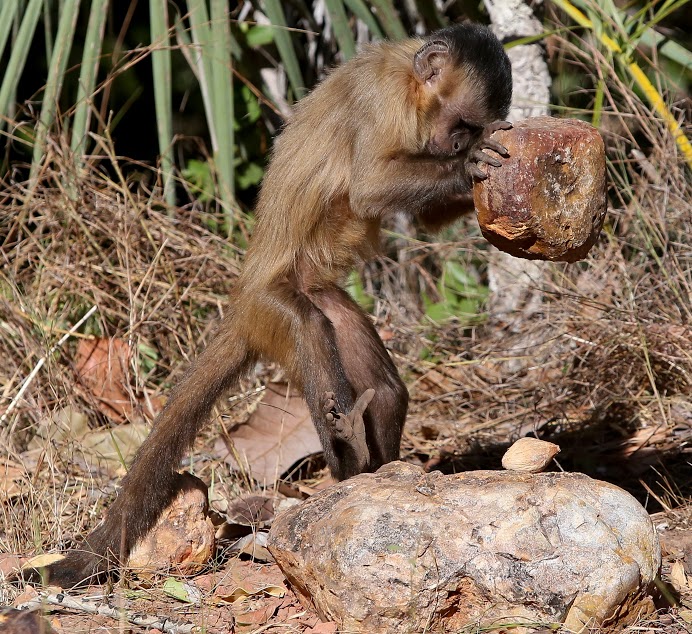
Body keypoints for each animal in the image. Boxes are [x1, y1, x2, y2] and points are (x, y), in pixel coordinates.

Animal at [46, 22, 510, 584]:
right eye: (462, 124)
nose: (462, 141)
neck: (408, 76)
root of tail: (243, 303)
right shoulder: (381, 97)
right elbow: (370, 186)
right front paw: (469, 163)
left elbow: (418, 219)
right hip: (272, 309)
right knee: (308, 327)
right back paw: (348, 453)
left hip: (325, 296)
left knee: (382, 386)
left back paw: (369, 471)